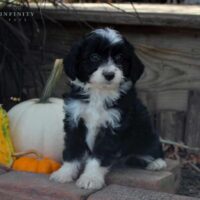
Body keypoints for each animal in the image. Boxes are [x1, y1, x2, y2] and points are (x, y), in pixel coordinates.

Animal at [49, 27, 166, 189]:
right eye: (94, 57)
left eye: (119, 58)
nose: (109, 74)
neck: (100, 93)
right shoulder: (75, 121)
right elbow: (73, 149)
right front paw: (64, 173)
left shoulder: (114, 125)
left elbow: (100, 155)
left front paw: (90, 178)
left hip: (146, 132)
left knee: (153, 146)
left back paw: (156, 162)